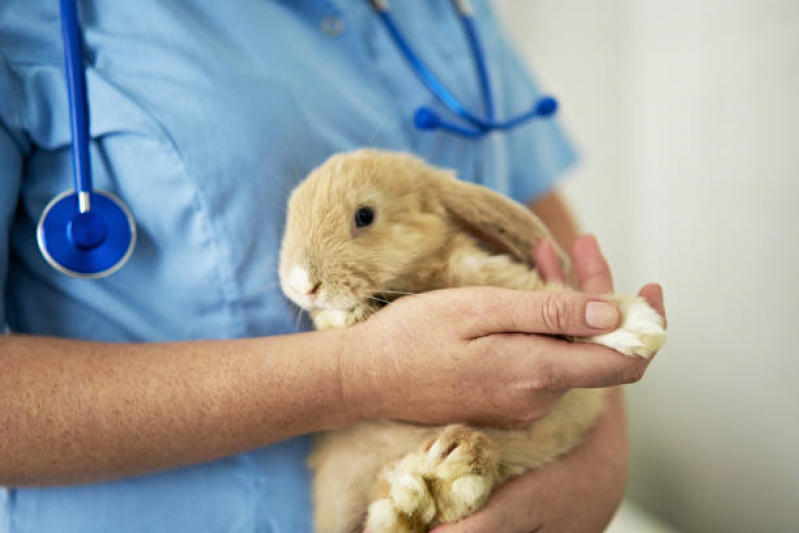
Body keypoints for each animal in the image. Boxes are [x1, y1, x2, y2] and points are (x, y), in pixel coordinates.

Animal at [278, 149, 664, 532]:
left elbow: (558, 299)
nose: (301, 284)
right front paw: (341, 315)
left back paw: (441, 475)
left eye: (364, 216)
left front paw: (635, 323)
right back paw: (416, 494)